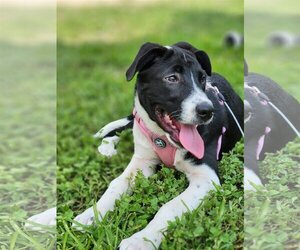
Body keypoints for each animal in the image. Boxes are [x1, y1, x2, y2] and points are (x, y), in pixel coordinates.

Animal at [71, 41, 243, 248]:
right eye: (172, 78)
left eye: (202, 79)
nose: (207, 111)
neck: (164, 138)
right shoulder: (141, 162)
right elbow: (116, 184)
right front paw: (92, 214)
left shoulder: (205, 177)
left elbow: (169, 207)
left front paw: (140, 241)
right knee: (129, 121)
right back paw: (107, 145)